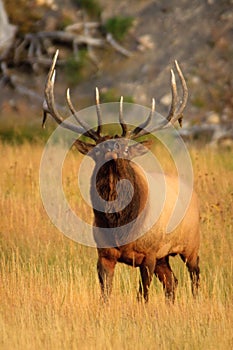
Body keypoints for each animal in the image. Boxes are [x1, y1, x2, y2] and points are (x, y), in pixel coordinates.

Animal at [42, 50, 199, 304]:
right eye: (97, 150)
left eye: (126, 148)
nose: (113, 148)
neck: (120, 226)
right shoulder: (104, 254)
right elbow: (105, 294)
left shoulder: (148, 253)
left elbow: (143, 294)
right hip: (164, 257)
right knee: (172, 282)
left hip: (191, 245)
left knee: (194, 277)